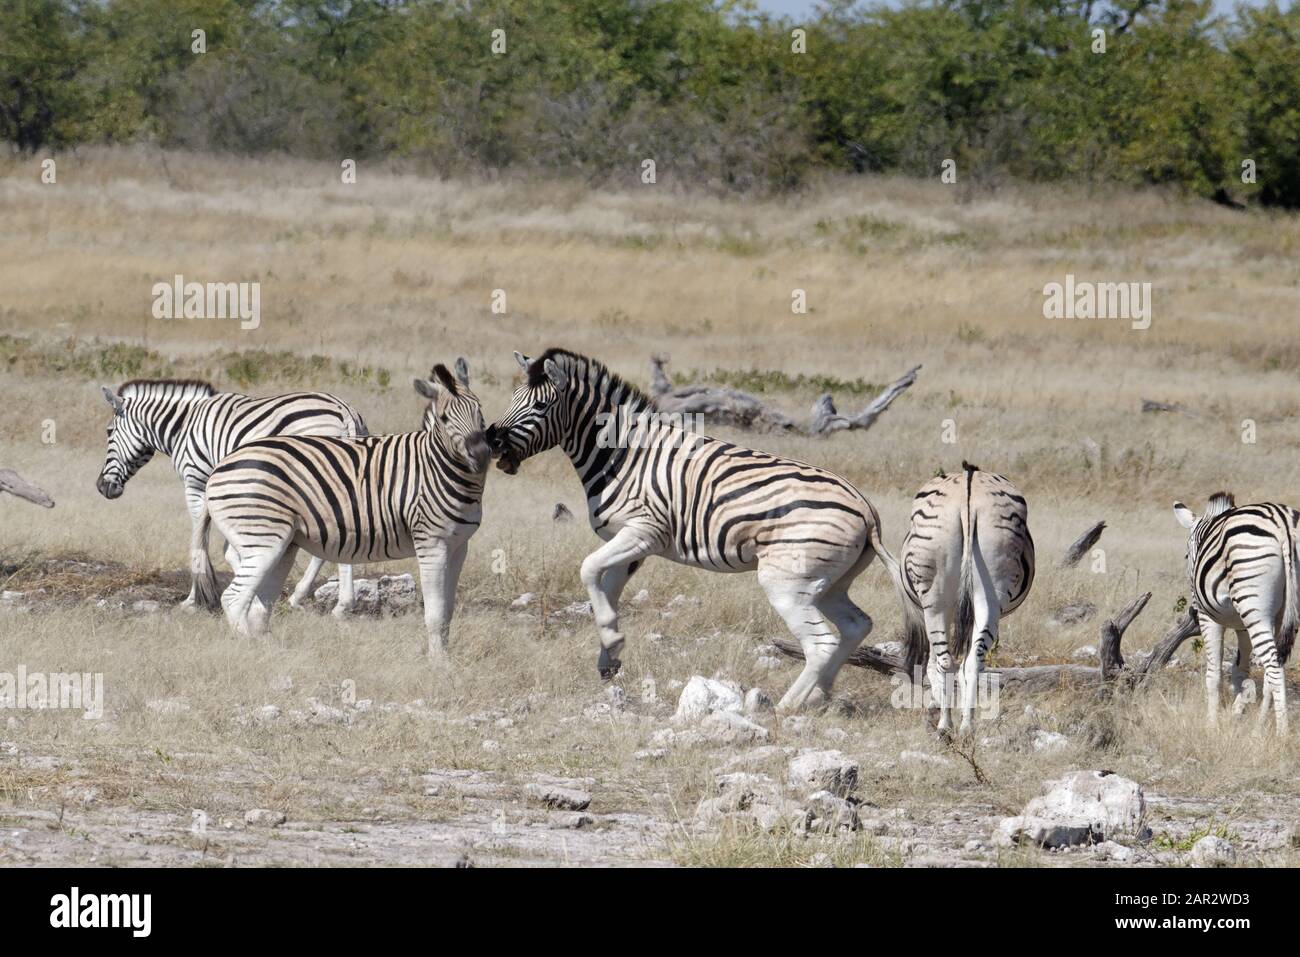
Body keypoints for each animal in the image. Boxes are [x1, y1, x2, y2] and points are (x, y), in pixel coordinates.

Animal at [97, 374, 366, 613]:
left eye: (109, 432)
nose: (101, 486)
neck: (182, 426)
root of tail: (344, 411)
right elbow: (228, 545)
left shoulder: (196, 482)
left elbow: (200, 539)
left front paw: (195, 599)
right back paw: (324, 600)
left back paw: (330, 602)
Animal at [200, 361, 488, 655]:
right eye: (444, 418)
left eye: (480, 409)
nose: (482, 455)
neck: (438, 466)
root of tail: (220, 466)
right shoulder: (431, 543)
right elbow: (435, 613)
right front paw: (438, 662)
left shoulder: (458, 547)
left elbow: (447, 611)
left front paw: (445, 656)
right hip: (262, 540)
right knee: (234, 598)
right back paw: (251, 648)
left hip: (284, 546)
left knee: (259, 606)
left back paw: (273, 653)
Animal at [889, 462, 1029, 733]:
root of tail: (968, 486)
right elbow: (964, 664)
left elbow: (932, 664)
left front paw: (934, 709)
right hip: (991, 595)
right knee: (973, 661)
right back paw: (966, 726)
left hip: (934, 601)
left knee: (944, 661)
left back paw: (945, 725)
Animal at [1175, 494, 1294, 733]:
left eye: (1186, 555)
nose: (1191, 611)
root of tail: (1282, 524)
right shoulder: (1243, 626)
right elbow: (1241, 670)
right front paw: (1238, 711)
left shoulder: (1208, 617)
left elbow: (1214, 673)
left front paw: (1211, 725)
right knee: (1272, 666)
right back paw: (1258, 728)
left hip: (1253, 608)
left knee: (1274, 665)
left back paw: (1282, 732)